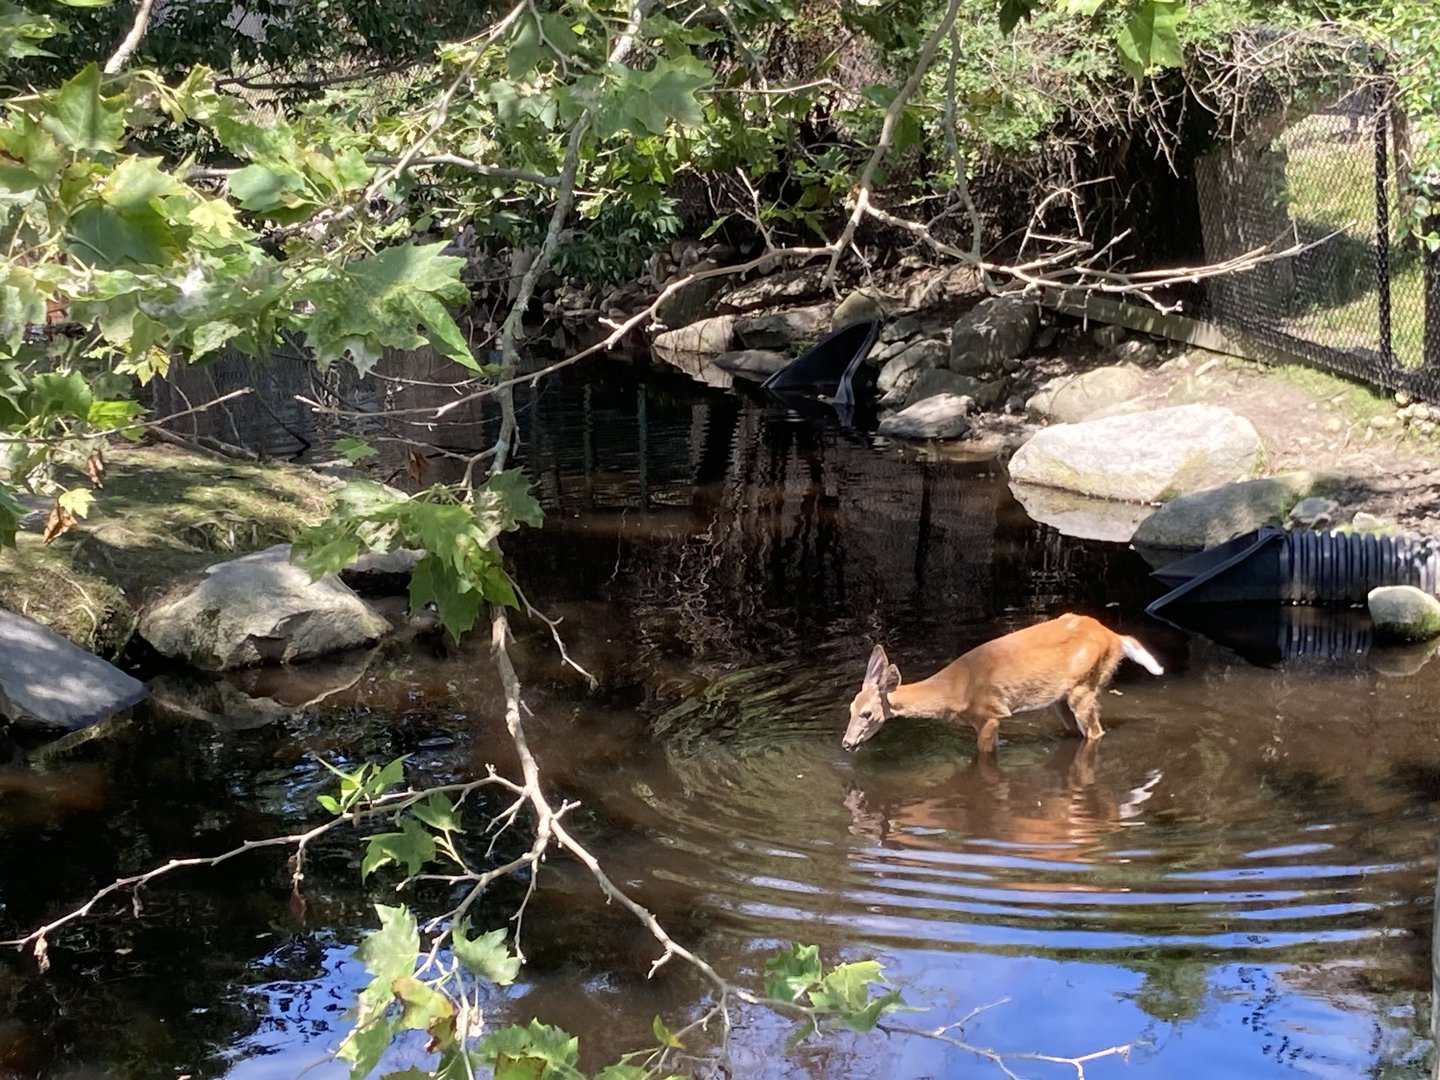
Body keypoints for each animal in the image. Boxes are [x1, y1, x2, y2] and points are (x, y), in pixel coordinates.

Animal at [842, 613, 1164, 755]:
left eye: (867, 714)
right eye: (850, 708)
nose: (846, 743)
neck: (953, 690)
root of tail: (1115, 637)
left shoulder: (990, 714)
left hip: (1083, 685)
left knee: (1096, 732)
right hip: (1060, 698)